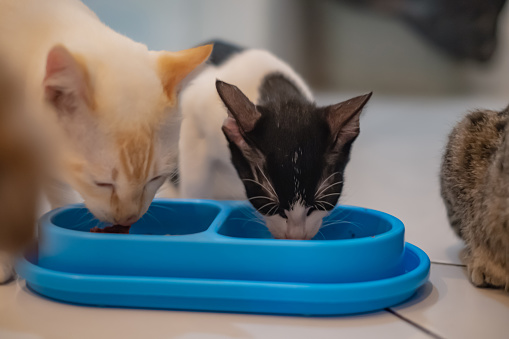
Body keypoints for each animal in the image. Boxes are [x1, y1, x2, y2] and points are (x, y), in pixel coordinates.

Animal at [174, 41, 370, 240]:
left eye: (318, 206)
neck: (278, 93)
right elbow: (195, 183)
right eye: (273, 208)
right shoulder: (194, 112)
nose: (295, 236)